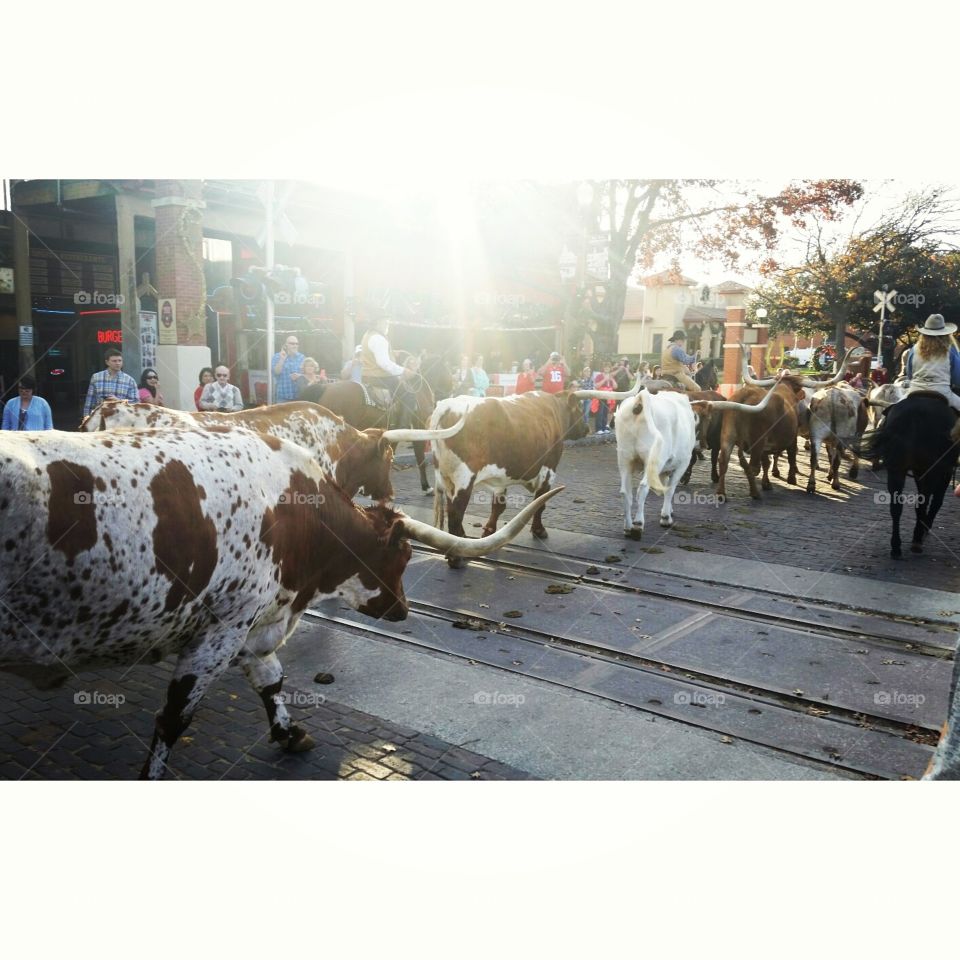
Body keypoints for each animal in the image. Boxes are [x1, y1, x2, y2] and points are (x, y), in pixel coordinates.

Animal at [0, 428, 560, 780]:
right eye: (401, 555)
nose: (403, 609)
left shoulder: (255, 627)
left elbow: (271, 679)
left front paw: (291, 734)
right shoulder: (220, 631)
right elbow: (173, 719)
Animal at [860, 390, 956, 556]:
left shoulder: (919, 471)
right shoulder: (944, 470)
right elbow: (936, 501)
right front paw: (925, 528)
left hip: (897, 468)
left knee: (896, 506)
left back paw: (896, 546)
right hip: (931, 469)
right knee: (924, 502)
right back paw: (917, 539)